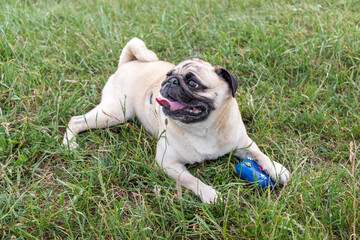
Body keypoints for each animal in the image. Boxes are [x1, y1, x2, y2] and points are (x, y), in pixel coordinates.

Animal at [63, 37, 292, 202]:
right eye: (168, 75)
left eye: (193, 83)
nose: (170, 81)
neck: (205, 128)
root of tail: (128, 63)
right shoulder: (168, 163)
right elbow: (192, 180)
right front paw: (210, 194)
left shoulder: (243, 144)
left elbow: (260, 154)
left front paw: (277, 168)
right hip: (114, 112)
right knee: (75, 120)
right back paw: (69, 145)